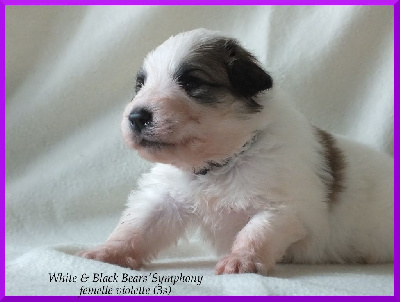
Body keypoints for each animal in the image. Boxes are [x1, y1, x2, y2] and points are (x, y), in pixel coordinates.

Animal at [76, 28, 392, 276]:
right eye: (141, 84)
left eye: (191, 82)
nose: (136, 116)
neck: (222, 163)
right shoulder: (166, 199)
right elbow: (137, 227)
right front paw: (107, 252)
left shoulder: (281, 207)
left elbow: (256, 233)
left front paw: (241, 261)